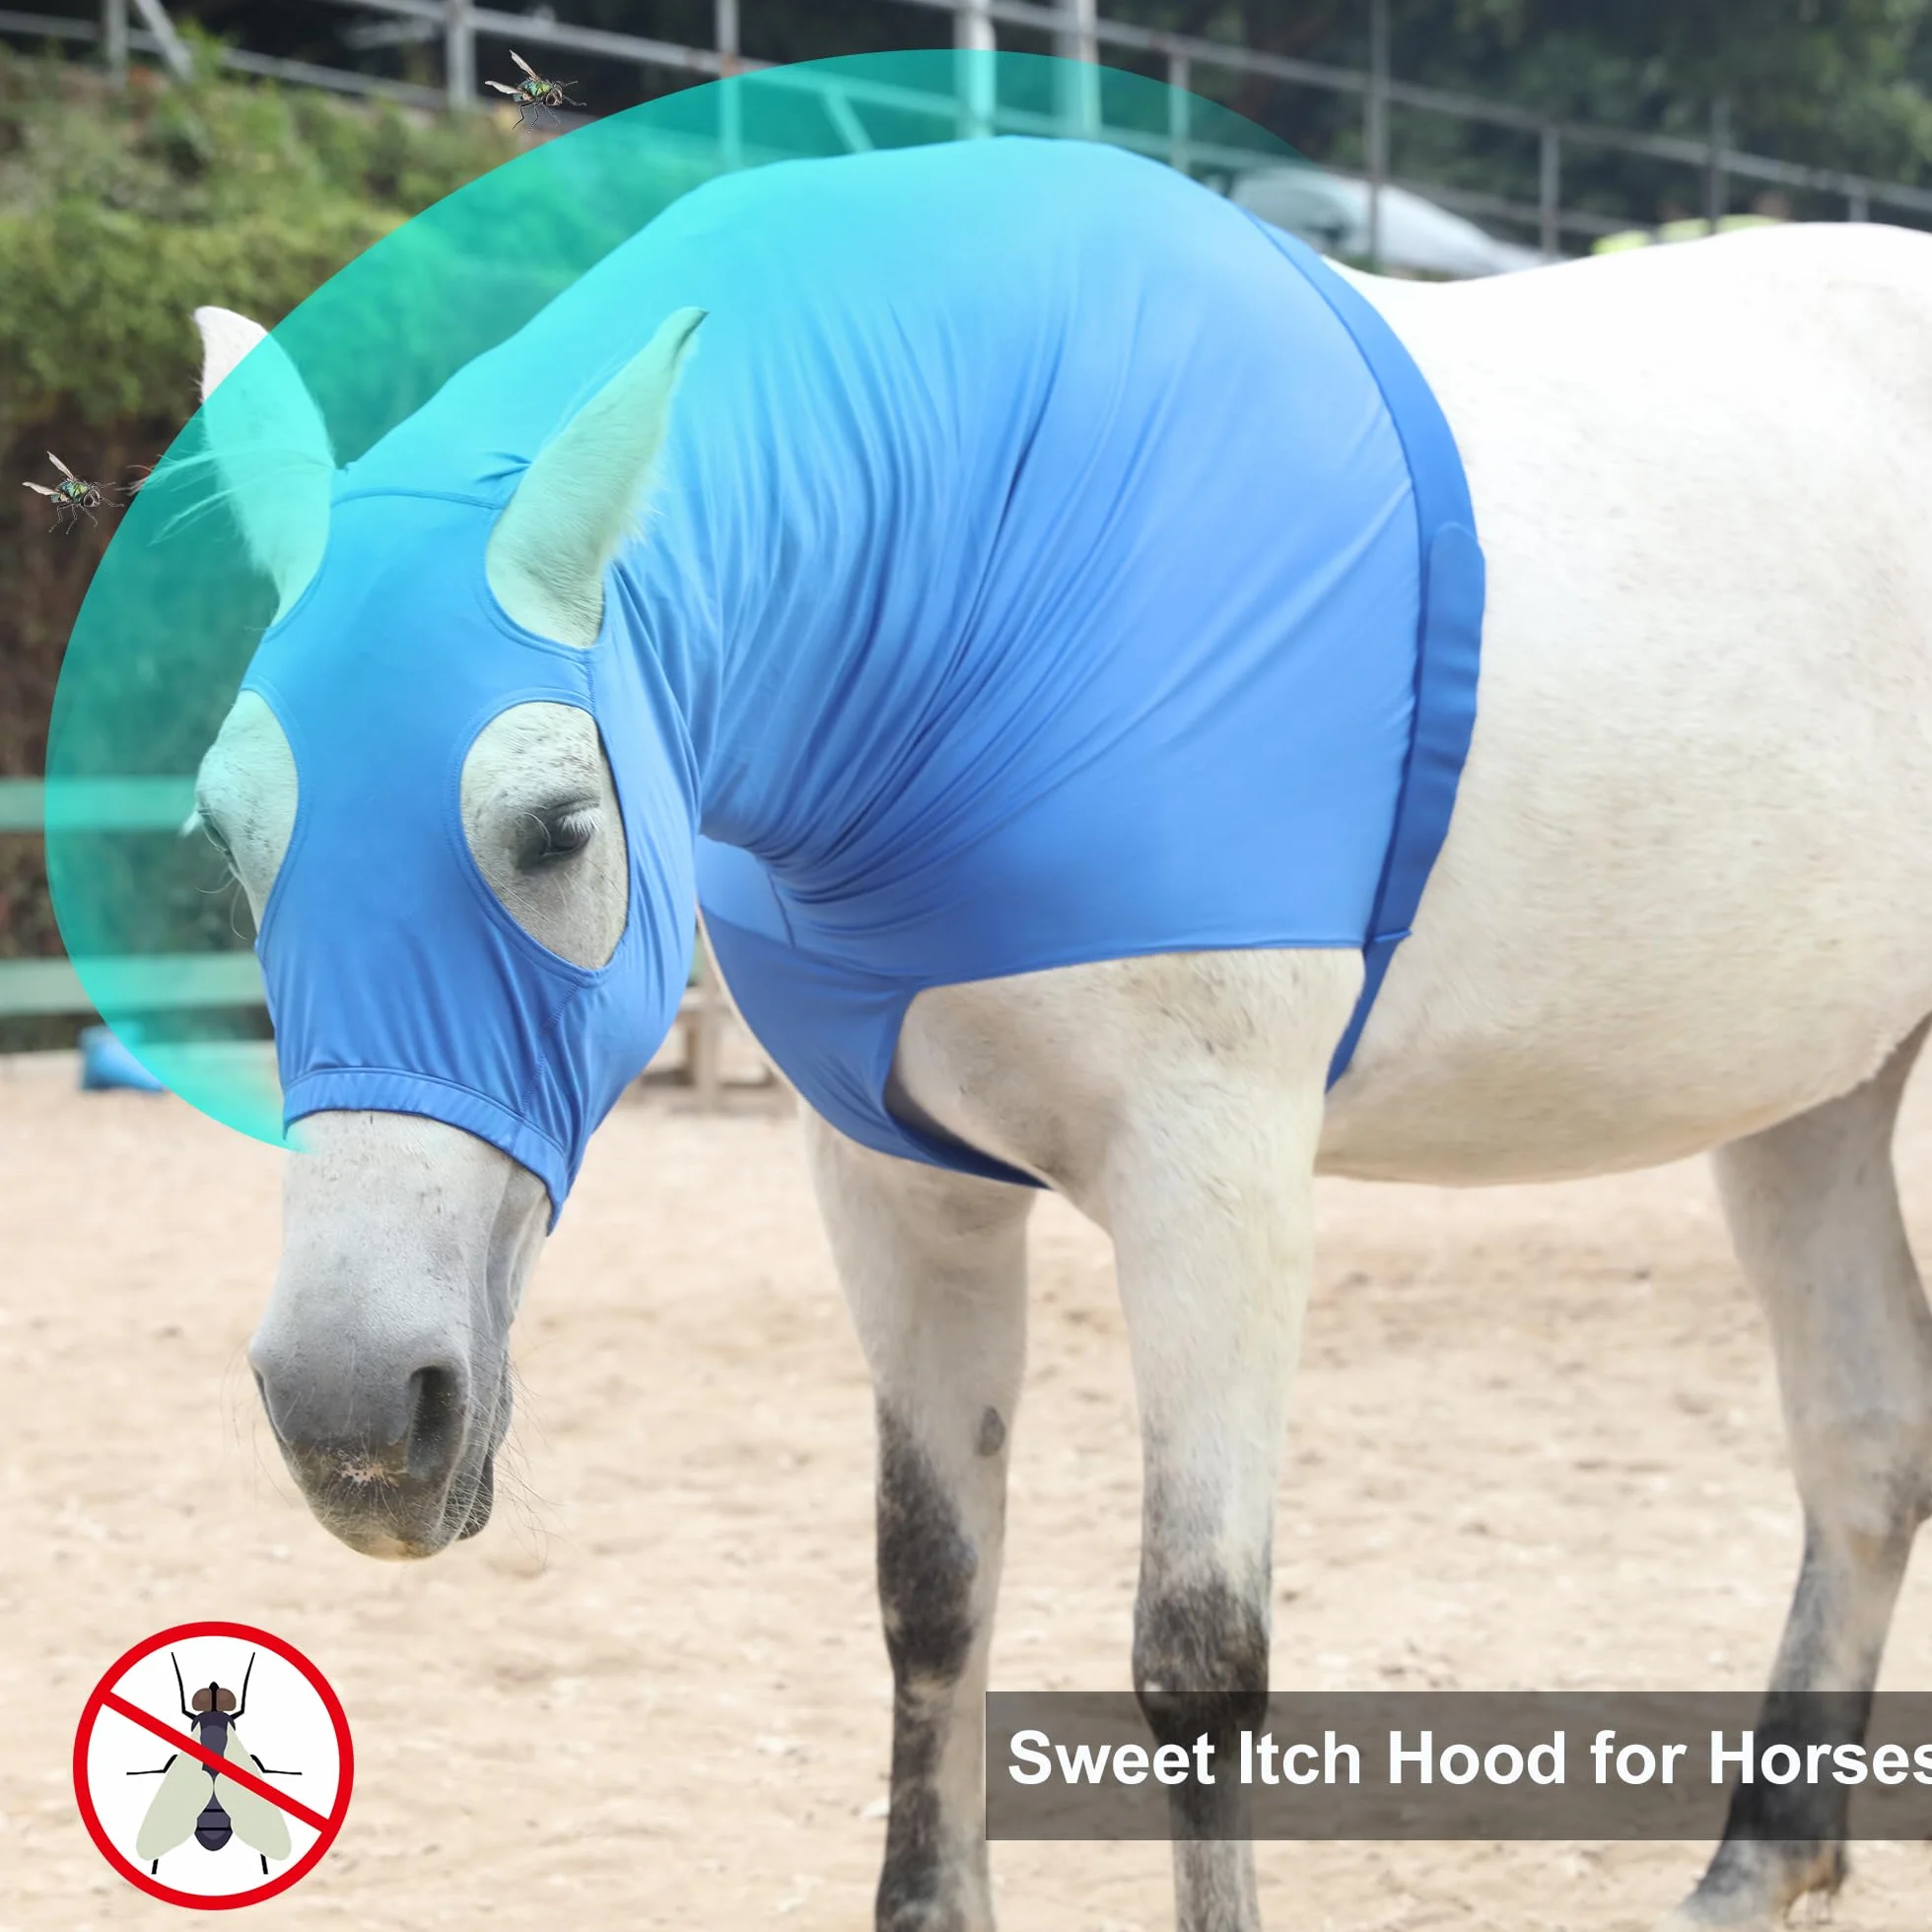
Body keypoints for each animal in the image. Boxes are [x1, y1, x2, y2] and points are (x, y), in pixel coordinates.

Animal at [182, 134, 1932, 1932]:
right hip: (1815, 1105)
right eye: (226, 839)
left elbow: (1201, 1654)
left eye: (553, 827)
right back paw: (1761, 1861)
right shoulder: (901, 1190)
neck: (1002, 573)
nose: (352, 1415)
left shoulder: (1216, 1185)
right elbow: (932, 1591)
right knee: (1868, 1444)